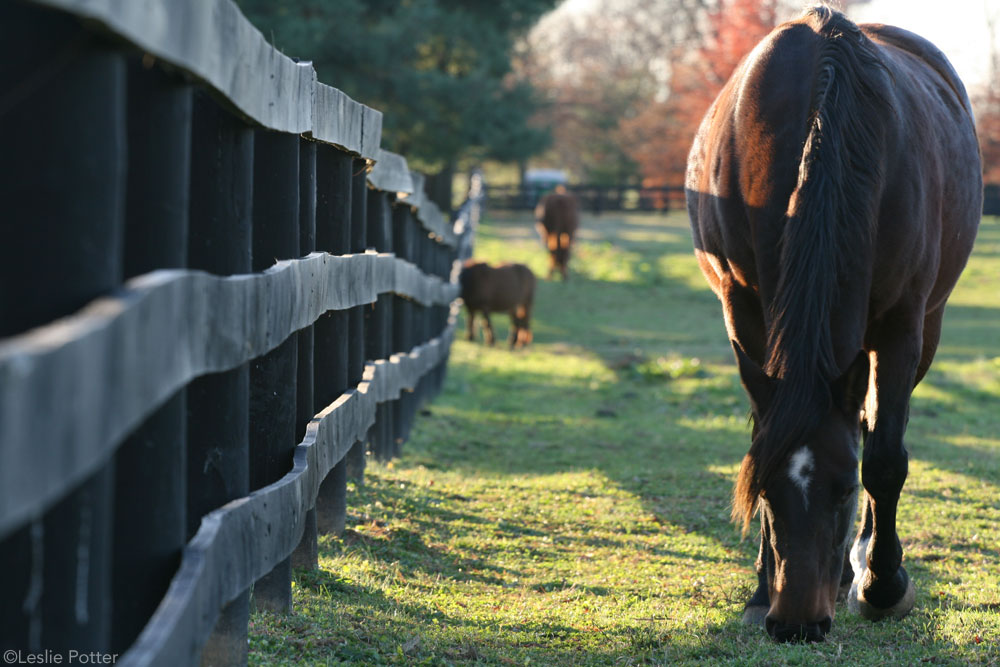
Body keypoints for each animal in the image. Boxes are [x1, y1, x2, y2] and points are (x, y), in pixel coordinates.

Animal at [684, 3, 980, 640]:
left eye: (844, 489)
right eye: (765, 492)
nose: (796, 623)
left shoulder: (901, 324)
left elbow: (885, 459)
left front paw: (882, 587)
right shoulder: (744, 308)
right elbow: (763, 430)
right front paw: (759, 590)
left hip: (921, 331)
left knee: (877, 425)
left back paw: (862, 568)